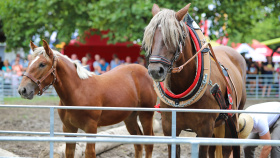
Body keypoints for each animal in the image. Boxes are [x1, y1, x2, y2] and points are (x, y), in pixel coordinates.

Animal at [17, 40, 158, 157]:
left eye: (42, 64)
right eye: (29, 63)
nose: (22, 90)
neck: (78, 91)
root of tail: (144, 70)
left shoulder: (91, 128)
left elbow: (90, 153)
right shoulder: (68, 129)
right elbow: (69, 152)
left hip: (146, 115)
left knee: (149, 143)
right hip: (130, 117)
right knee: (138, 143)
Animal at [143, 3, 246, 158]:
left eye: (173, 36)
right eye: (151, 36)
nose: (155, 70)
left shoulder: (205, 129)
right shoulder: (169, 128)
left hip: (232, 118)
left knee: (227, 149)